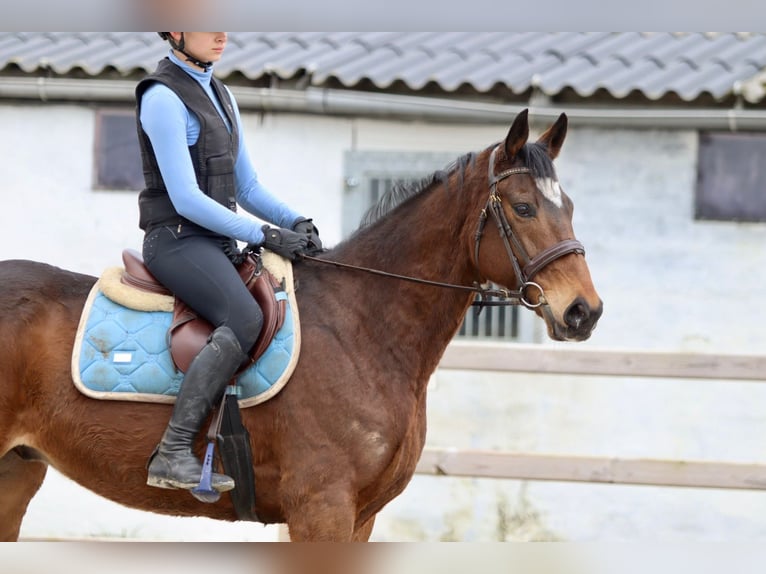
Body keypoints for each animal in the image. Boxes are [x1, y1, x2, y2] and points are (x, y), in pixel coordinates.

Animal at [0, 109, 608, 544]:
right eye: (524, 207)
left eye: (572, 206)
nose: (584, 311)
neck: (363, 326)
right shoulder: (322, 508)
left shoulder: (359, 517)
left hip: (16, 474)